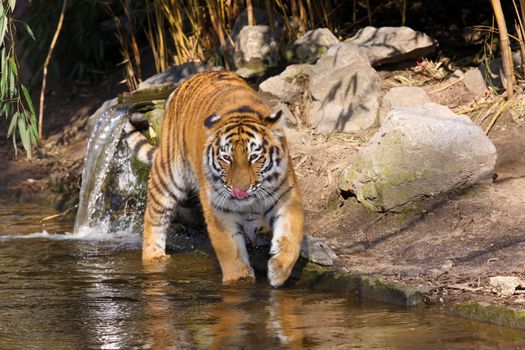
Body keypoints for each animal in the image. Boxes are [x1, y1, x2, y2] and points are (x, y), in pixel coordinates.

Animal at [124, 71, 302, 288]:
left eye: (254, 157)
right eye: (226, 158)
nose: (240, 190)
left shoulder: (287, 197)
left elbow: (291, 237)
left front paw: (279, 270)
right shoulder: (218, 208)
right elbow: (230, 249)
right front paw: (239, 279)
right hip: (168, 175)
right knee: (154, 216)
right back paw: (154, 257)